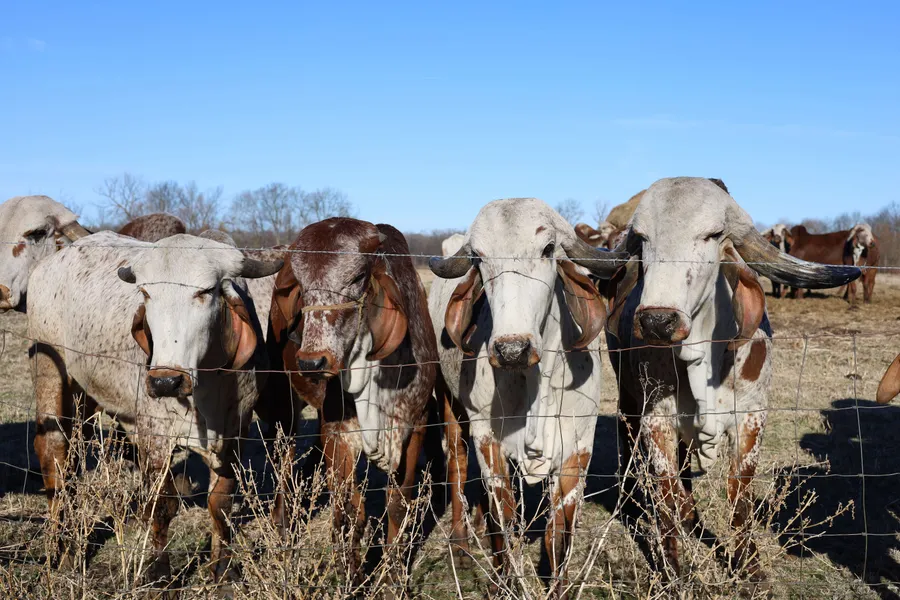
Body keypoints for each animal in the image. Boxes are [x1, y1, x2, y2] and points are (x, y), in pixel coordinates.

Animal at [27, 232, 282, 587]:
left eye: (205, 291)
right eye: (146, 293)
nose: (165, 382)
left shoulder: (235, 432)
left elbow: (220, 503)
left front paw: (223, 570)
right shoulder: (156, 437)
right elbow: (162, 507)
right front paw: (159, 575)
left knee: (74, 457)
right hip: (50, 370)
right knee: (55, 455)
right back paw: (58, 548)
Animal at [266, 217, 439, 588]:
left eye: (358, 277)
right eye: (301, 283)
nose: (312, 361)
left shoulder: (415, 423)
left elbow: (397, 505)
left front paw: (392, 577)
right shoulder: (339, 432)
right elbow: (347, 510)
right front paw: (352, 576)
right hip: (285, 397)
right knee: (285, 456)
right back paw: (283, 522)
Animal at [428, 198, 627, 597]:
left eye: (548, 249)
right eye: (478, 256)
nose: (512, 349)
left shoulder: (577, 449)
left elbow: (558, 535)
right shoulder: (489, 442)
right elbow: (505, 522)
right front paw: (504, 579)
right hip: (450, 404)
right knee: (457, 464)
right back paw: (461, 544)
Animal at [604, 177, 860, 582]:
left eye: (713, 234)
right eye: (642, 237)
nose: (657, 321)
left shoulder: (751, 418)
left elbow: (738, 491)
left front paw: (748, 566)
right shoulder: (656, 419)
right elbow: (665, 493)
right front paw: (673, 572)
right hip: (629, 399)